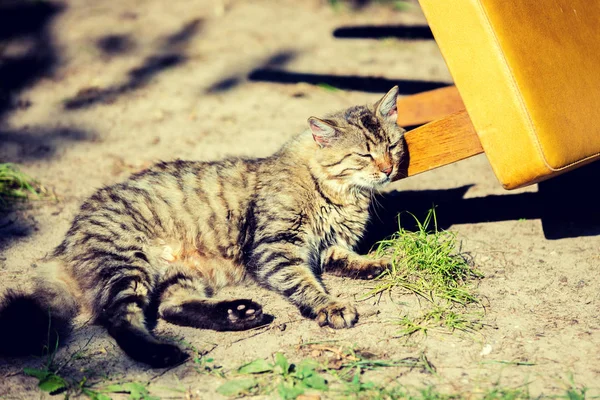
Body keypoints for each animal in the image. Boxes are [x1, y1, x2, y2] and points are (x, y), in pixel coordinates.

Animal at [0, 86, 408, 368]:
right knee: (118, 320)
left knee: (169, 308)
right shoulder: (276, 247)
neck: (339, 194)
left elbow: (346, 258)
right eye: (365, 154)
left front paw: (374, 265)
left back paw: (239, 314)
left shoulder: (325, 246)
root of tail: (66, 239)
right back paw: (163, 353)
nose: (388, 169)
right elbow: (306, 284)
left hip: (177, 274)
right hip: (127, 266)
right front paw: (330, 306)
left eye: (392, 145)